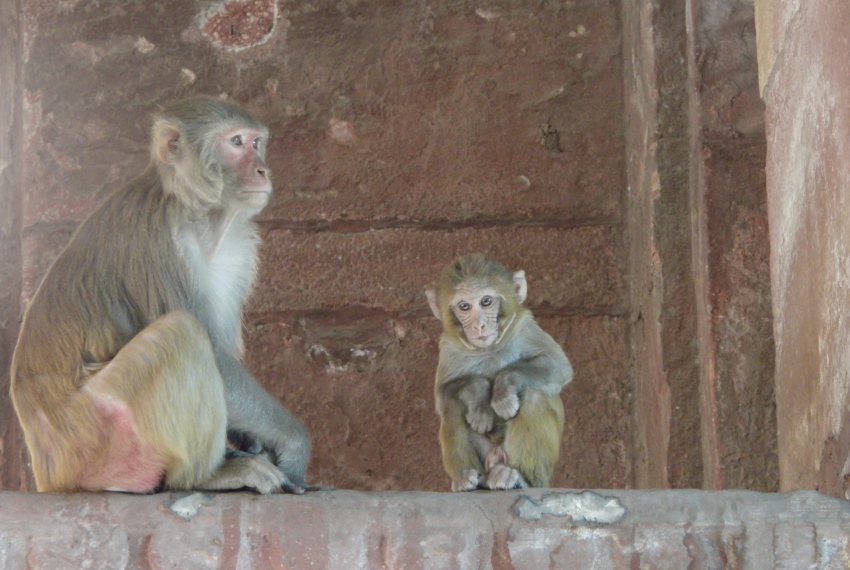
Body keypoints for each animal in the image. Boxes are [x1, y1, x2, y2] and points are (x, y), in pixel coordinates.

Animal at [10, 97, 315, 494]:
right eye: (236, 143)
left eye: (256, 143)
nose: (263, 170)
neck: (201, 215)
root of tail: (48, 471)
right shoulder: (161, 238)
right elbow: (217, 357)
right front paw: (294, 443)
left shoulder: (239, 252)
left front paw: (253, 439)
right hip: (94, 433)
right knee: (181, 332)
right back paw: (206, 476)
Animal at [425, 254, 573, 491]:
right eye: (464, 306)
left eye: (486, 301)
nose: (479, 326)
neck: (489, 349)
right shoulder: (448, 346)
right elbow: (442, 395)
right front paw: (479, 395)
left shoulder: (525, 327)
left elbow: (557, 365)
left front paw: (503, 390)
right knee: (452, 405)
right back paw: (467, 476)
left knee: (533, 396)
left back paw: (518, 475)